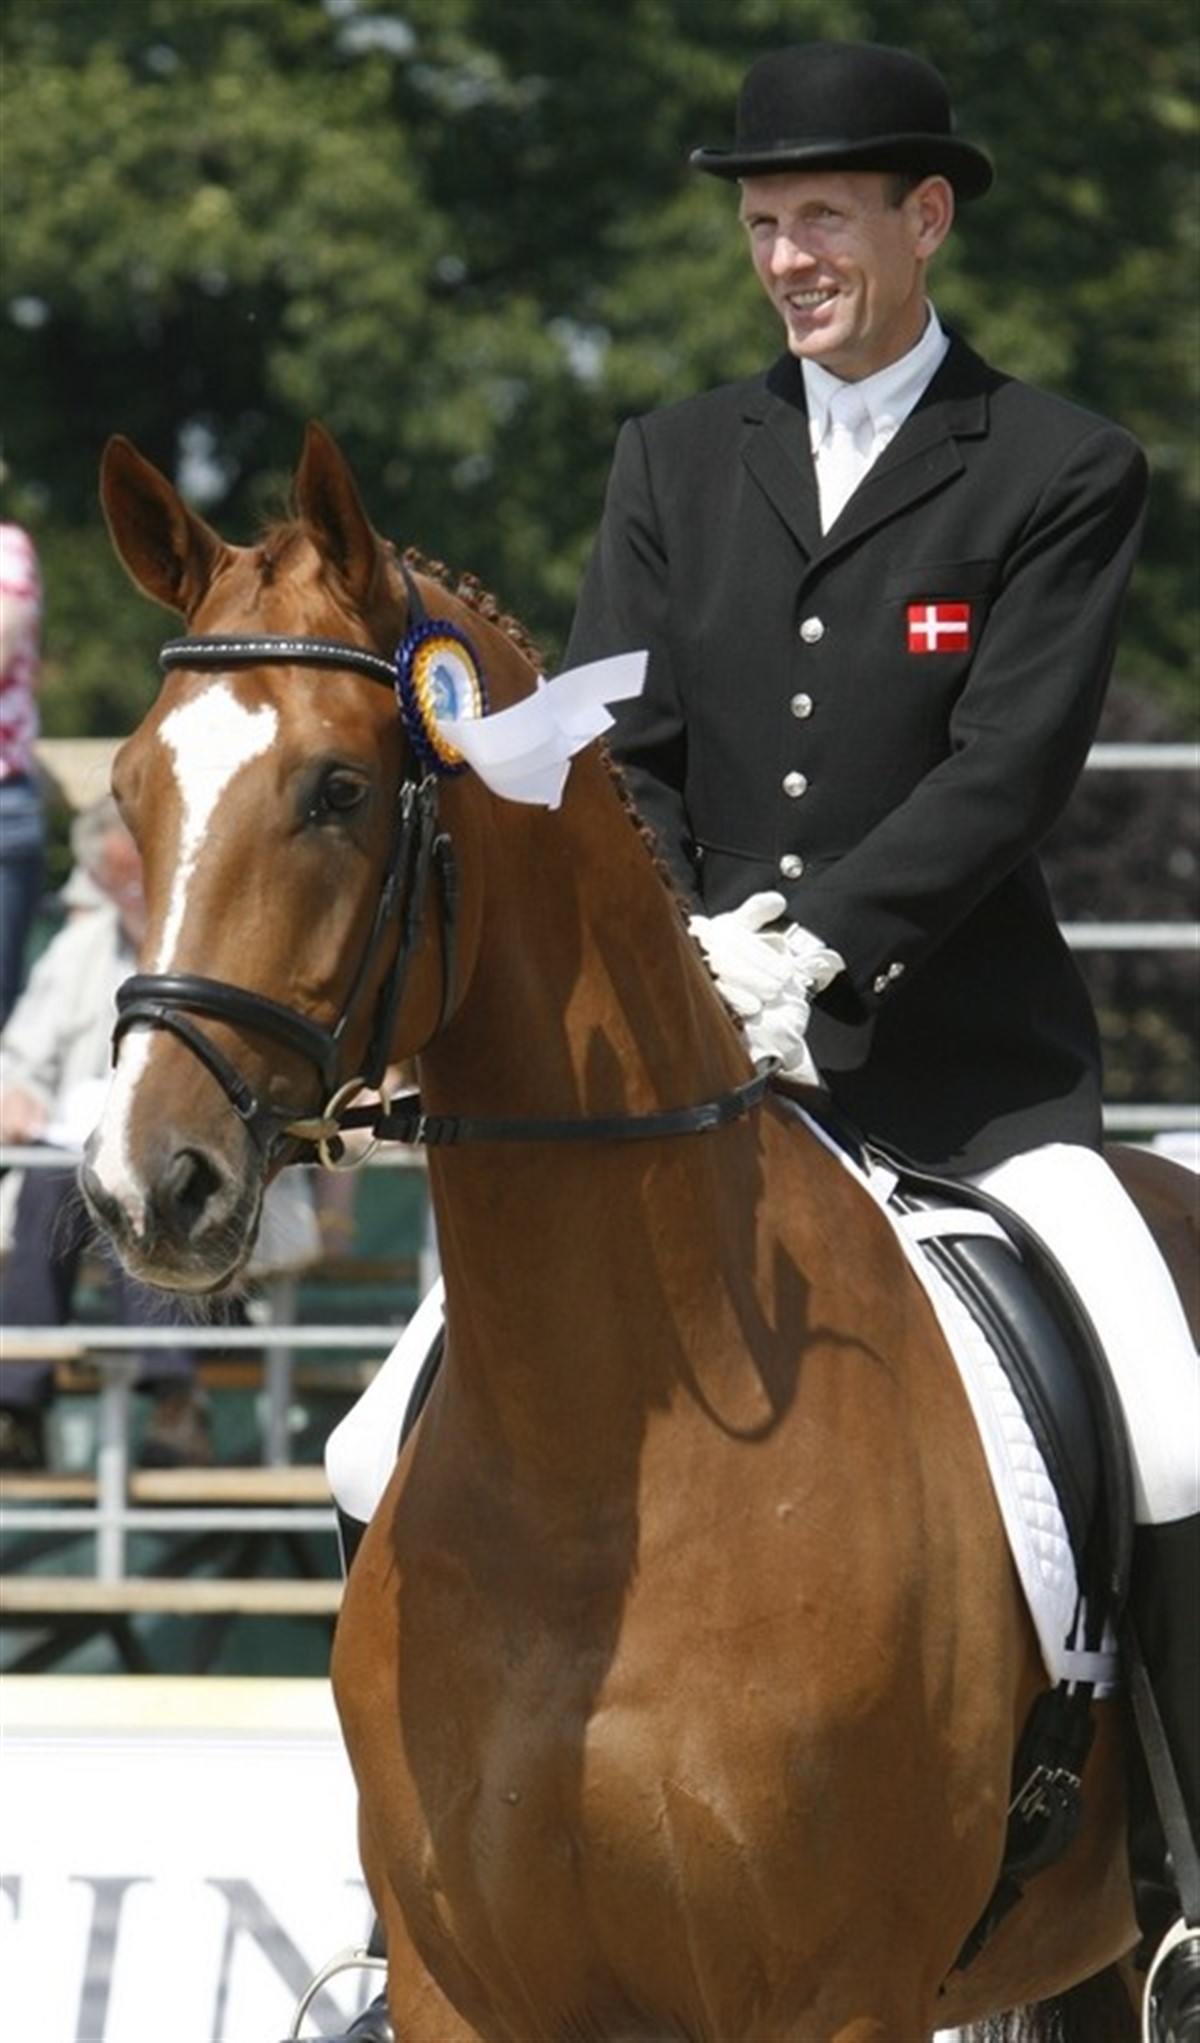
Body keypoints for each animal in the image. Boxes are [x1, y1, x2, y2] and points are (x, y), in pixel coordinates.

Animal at [84, 421, 1195, 2042]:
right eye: (127, 791)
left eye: (340, 790)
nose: (141, 1187)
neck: (600, 1462)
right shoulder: (467, 1991)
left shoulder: (835, 2001)